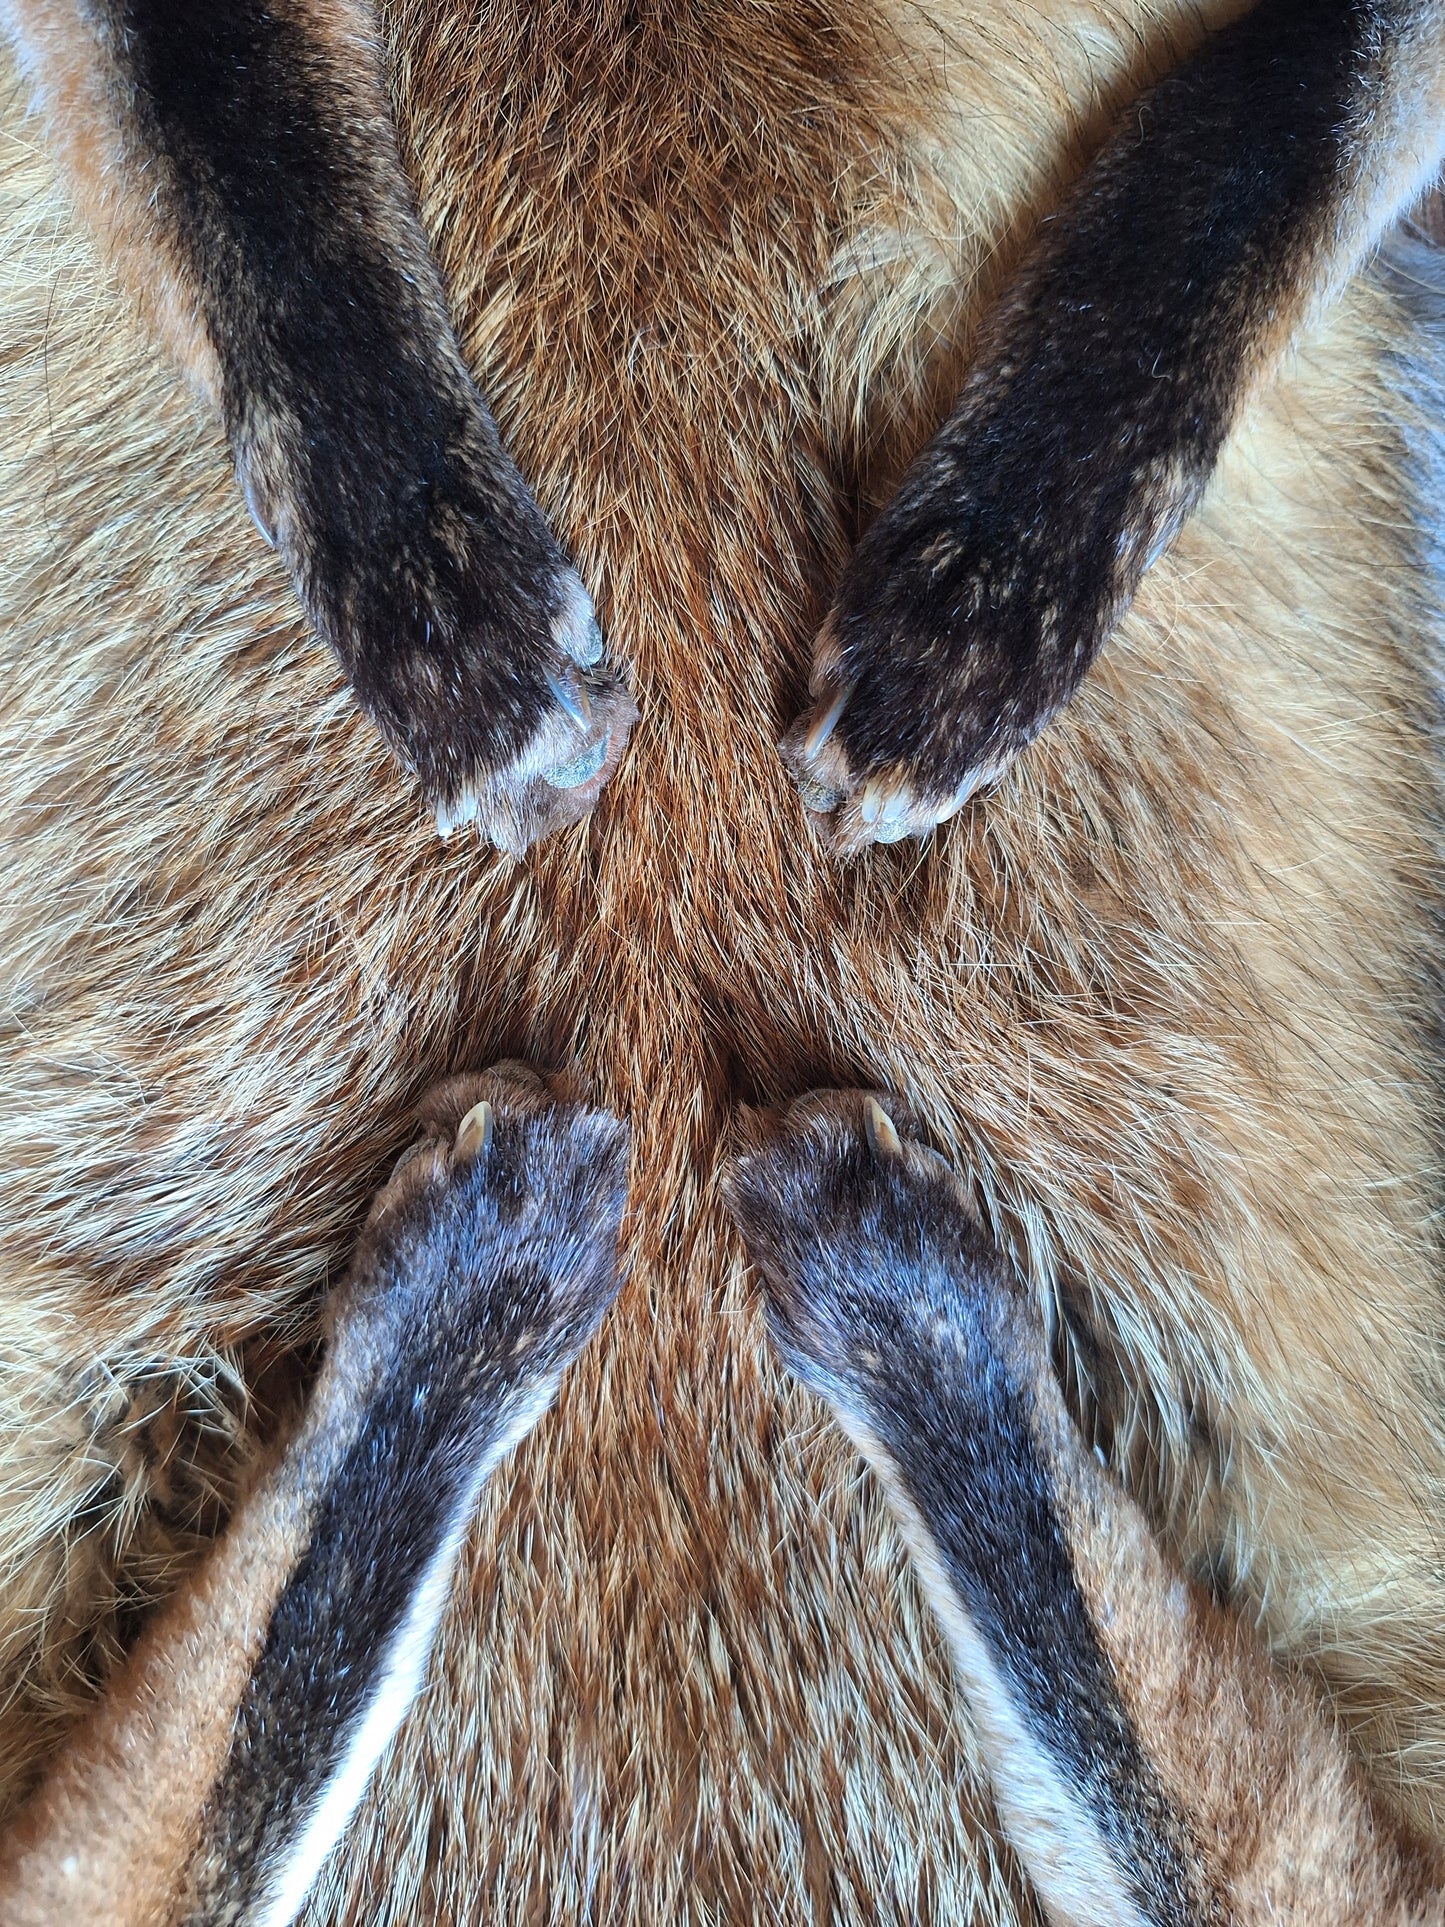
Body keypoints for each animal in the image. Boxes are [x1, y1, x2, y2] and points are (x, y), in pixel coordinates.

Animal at [2, 0, 1445, 1921]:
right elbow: (258, 206)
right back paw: (546, 1318)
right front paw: (442, 598)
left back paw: (865, 1320)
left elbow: (1252, 153)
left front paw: (992, 582)